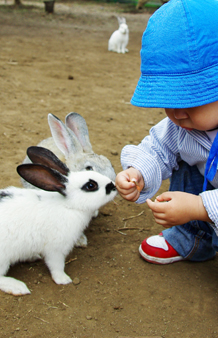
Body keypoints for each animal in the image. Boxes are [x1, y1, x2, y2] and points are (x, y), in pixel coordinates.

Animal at [0, 147, 117, 294]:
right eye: (90, 185)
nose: (114, 187)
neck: (68, 205)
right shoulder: (55, 249)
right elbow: (56, 266)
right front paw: (63, 280)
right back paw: (18, 287)